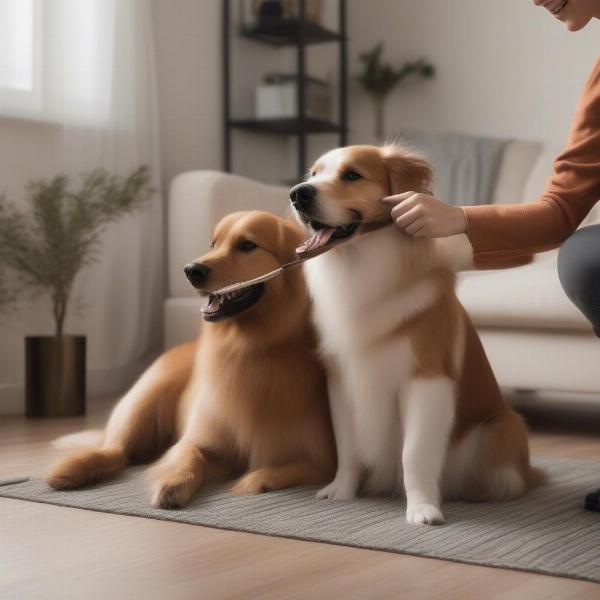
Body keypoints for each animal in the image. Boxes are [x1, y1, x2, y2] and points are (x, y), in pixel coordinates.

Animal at [45, 211, 338, 506]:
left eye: (247, 245)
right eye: (213, 244)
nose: (191, 270)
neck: (251, 346)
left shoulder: (323, 458)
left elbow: (294, 468)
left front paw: (255, 480)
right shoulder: (198, 439)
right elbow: (189, 454)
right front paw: (173, 483)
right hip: (143, 400)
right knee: (115, 451)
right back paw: (71, 470)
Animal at [288, 145, 540, 524]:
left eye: (352, 175)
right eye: (314, 174)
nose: (297, 194)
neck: (363, 266)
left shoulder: (426, 380)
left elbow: (415, 453)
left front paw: (422, 509)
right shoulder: (340, 380)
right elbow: (347, 446)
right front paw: (341, 491)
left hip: (501, 430)